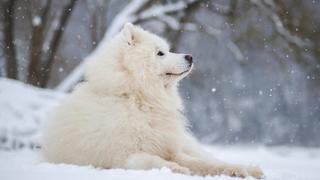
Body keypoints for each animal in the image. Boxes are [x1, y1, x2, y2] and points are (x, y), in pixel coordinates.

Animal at [42, 22, 262, 179]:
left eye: (167, 50)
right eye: (160, 53)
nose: (190, 56)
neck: (140, 99)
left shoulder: (171, 148)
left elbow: (204, 164)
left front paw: (231, 169)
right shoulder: (124, 155)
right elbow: (153, 160)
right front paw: (178, 170)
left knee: (210, 157)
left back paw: (248, 169)